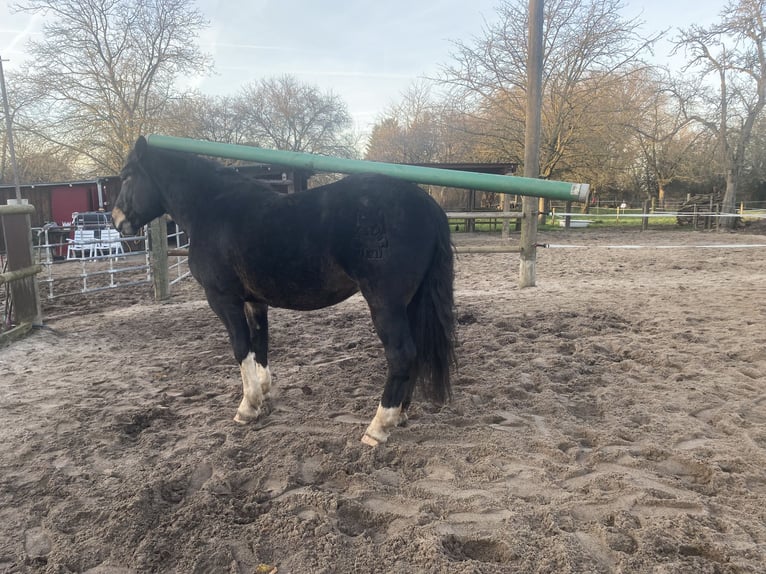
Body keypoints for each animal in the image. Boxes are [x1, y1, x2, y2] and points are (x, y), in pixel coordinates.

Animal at [114, 137, 456, 448]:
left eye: (127, 175)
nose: (118, 221)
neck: (211, 207)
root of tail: (426, 205)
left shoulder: (223, 299)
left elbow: (241, 347)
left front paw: (247, 407)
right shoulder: (254, 302)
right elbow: (260, 344)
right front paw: (263, 394)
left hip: (385, 304)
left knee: (401, 354)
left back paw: (378, 427)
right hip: (409, 304)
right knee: (414, 354)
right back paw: (400, 415)